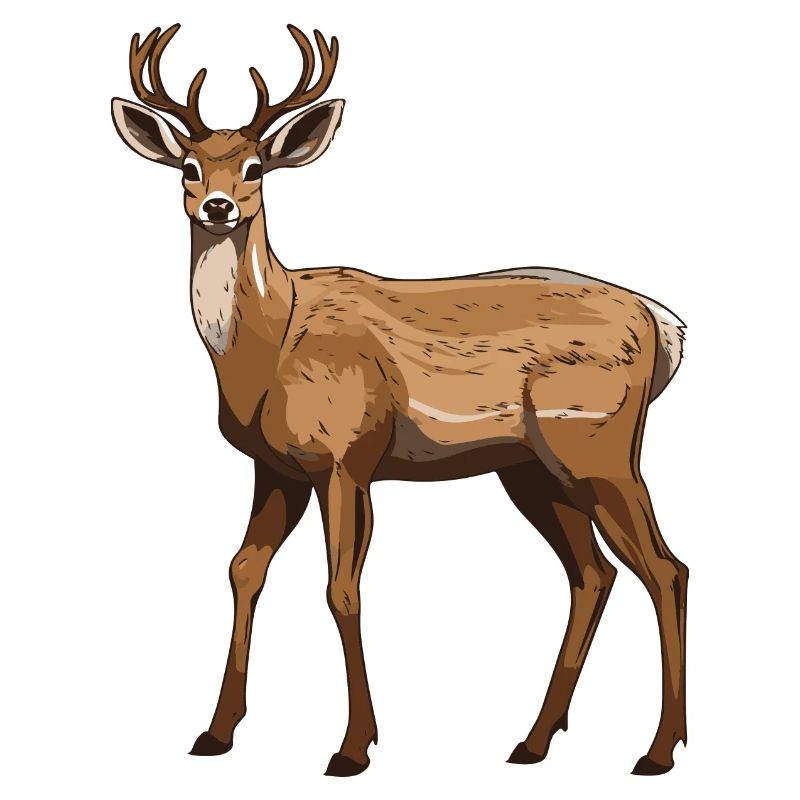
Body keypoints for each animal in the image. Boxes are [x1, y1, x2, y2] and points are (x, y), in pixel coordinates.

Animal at [111, 23, 688, 777]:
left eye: (257, 168)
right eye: (187, 166)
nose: (218, 206)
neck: (269, 345)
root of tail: (665, 325)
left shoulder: (347, 454)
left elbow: (341, 587)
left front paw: (353, 747)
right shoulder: (275, 467)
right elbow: (242, 570)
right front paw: (215, 731)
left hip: (600, 446)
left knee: (665, 568)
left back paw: (658, 750)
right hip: (533, 468)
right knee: (594, 574)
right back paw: (532, 741)